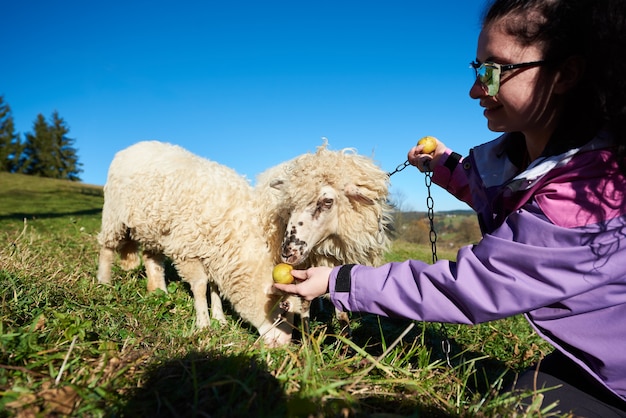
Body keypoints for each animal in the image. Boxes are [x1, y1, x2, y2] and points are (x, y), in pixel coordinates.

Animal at [96, 142, 302, 348]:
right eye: (284, 308)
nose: (285, 345)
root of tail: (133, 146)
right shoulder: (187, 250)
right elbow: (201, 287)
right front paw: (204, 324)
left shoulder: (215, 254)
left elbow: (215, 288)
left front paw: (220, 319)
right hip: (114, 214)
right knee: (107, 247)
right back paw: (104, 281)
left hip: (153, 229)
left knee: (151, 258)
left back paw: (159, 291)